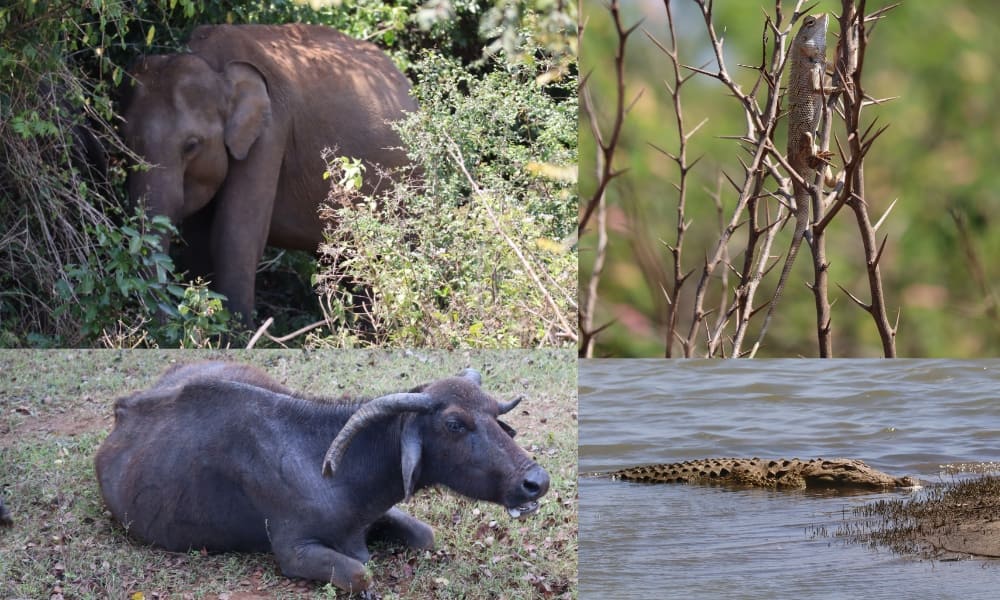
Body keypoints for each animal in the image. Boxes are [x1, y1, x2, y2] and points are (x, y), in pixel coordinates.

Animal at [94, 360, 552, 592]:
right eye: (455, 424)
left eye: (493, 413)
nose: (536, 481)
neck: (338, 474)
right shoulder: (294, 552)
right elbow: (361, 573)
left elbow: (426, 535)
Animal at [122, 24, 418, 324]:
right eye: (124, 140)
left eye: (191, 145)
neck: (213, 64)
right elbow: (199, 239)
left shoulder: (270, 131)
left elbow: (235, 234)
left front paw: (237, 330)